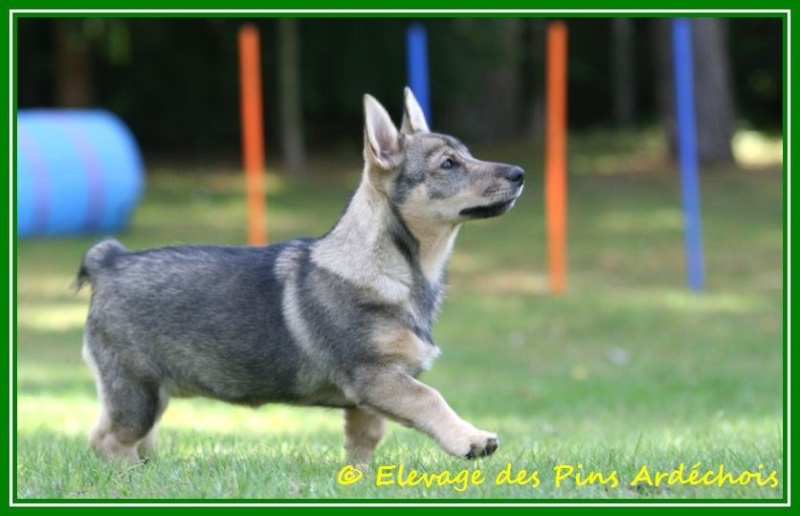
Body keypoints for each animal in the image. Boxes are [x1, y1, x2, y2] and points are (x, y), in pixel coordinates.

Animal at [76, 86, 524, 466]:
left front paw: (359, 479)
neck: (396, 269)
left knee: (119, 437)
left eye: (467, 154)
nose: (519, 174)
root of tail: (110, 261)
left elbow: (365, 440)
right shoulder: (376, 377)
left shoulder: (367, 400)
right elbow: (430, 399)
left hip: (150, 396)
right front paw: (471, 439)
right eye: (449, 164)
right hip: (137, 392)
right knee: (110, 440)